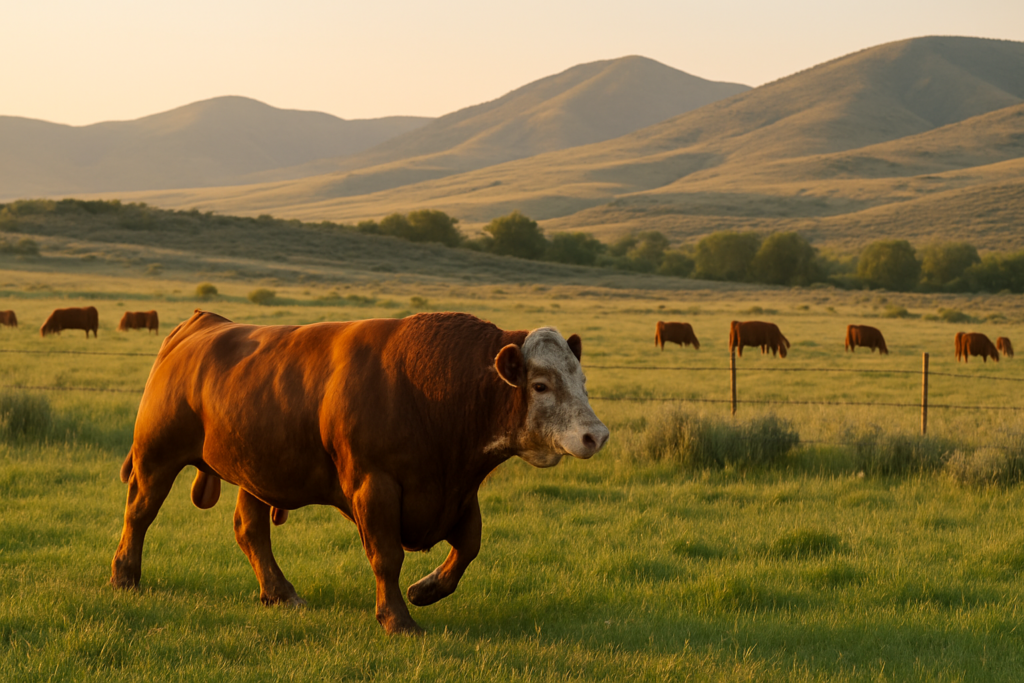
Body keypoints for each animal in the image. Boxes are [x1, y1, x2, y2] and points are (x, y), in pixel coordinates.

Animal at [110, 310, 609, 635]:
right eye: (541, 385)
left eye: (582, 383)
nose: (597, 435)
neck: (433, 390)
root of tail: (201, 323)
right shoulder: (375, 487)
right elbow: (386, 557)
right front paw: (398, 619)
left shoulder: (459, 492)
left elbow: (469, 546)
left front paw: (427, 589)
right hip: (155, 457)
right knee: (139, 515)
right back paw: (125, 577)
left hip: (255, 470)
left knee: (250, 531)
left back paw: (280, 592)